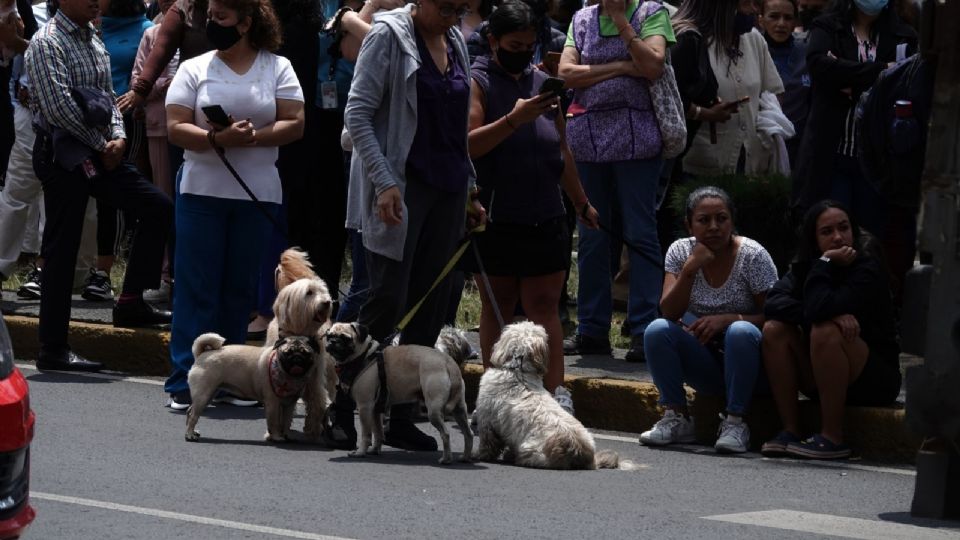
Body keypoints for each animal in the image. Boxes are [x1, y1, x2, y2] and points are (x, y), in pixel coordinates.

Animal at [186, 334, 320, 442]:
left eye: (306, 353)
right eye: (287, 353)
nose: (297, 357)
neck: (288, 376)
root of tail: (203, 354)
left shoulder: (289, 404)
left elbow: (286, 422)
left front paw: (287, 435)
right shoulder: (273, 403)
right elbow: (274, 422)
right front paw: (276, 437)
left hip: (208, 395)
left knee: (190, 412)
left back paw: (192, 432)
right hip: (204, 395)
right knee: (193, 415)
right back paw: (190, 435)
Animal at [322, 322, 472, 462]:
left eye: (345, 338)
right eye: (329, 336)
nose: (332, 342)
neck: (363, 355)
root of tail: (449, 363)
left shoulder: (365, 407)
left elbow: (366, 434)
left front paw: (361, 452)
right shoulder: (375, 411)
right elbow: (378, 432)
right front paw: (375, 450)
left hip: (434, 411)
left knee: (445, 434)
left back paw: (446, 459)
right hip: (459, 410)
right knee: (468, 434)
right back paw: (465, 457)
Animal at [470, 322, 632, 470]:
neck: (517, 371)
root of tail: (579, 451)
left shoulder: (487, 420)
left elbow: (488, 443)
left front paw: (479, 455)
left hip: (529, 450)